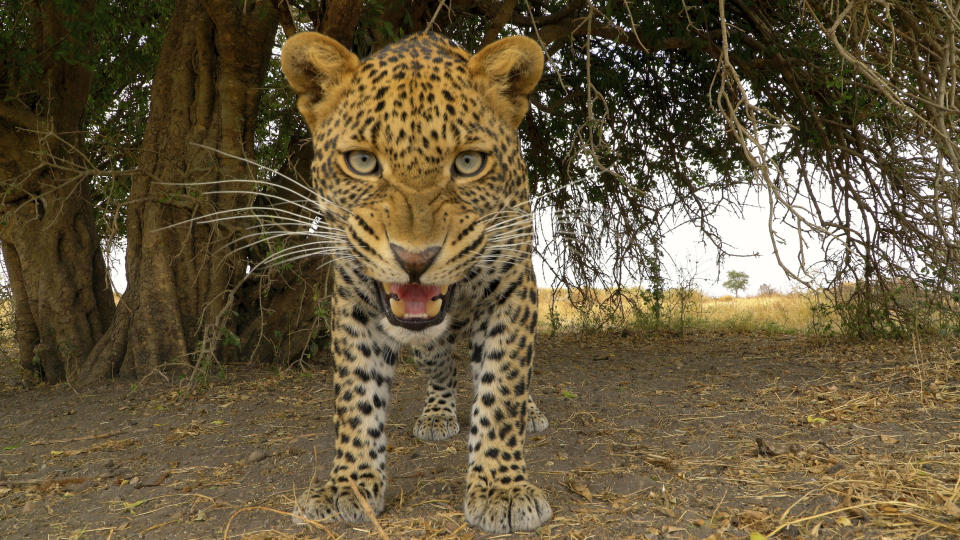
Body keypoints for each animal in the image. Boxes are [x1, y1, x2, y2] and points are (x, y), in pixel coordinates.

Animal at [280, 31, 548, 532]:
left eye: (469, 162)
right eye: (362, 161)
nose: (415, 258)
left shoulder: (513, 289)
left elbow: (503, 388)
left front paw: (501, 489)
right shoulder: (354, 300)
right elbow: (356, 395)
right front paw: (348, 484)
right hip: (425, 346)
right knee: (442, 367)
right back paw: (438, 413)